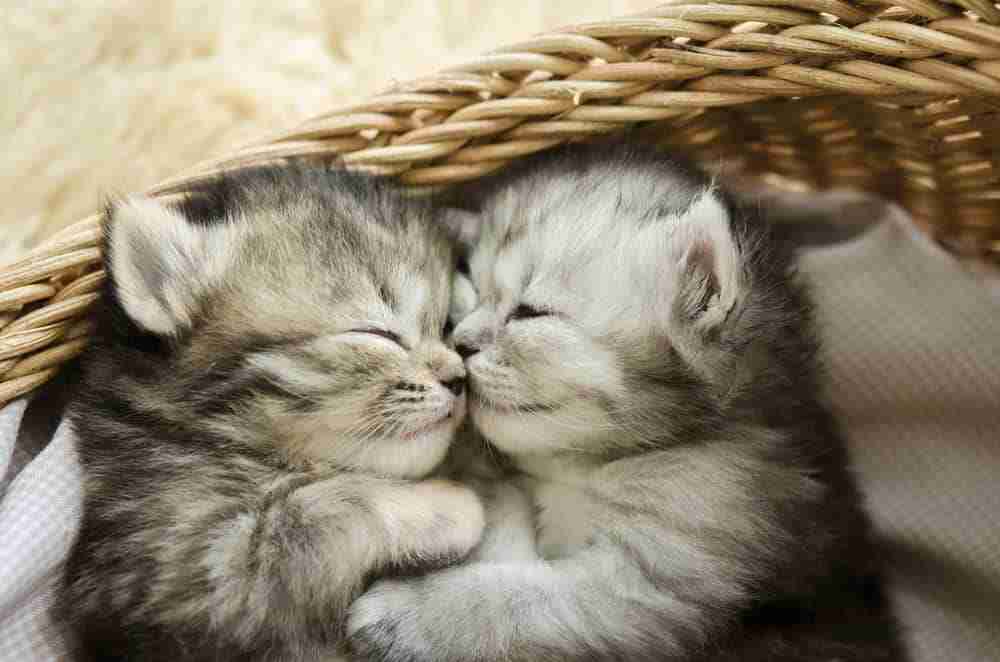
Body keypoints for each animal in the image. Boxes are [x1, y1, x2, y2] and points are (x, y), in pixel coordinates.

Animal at [58, 166, 488, 662]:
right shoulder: (178, 576)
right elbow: (313, 511)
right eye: (376, 333)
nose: (458, 378)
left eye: (446, 327)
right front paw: (450, 506)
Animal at [348, 143, 912, 662]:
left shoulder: (670, 573)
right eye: (467, 298)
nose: (461, 344)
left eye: (530, 312)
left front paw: (405, 617)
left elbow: (523, 603)